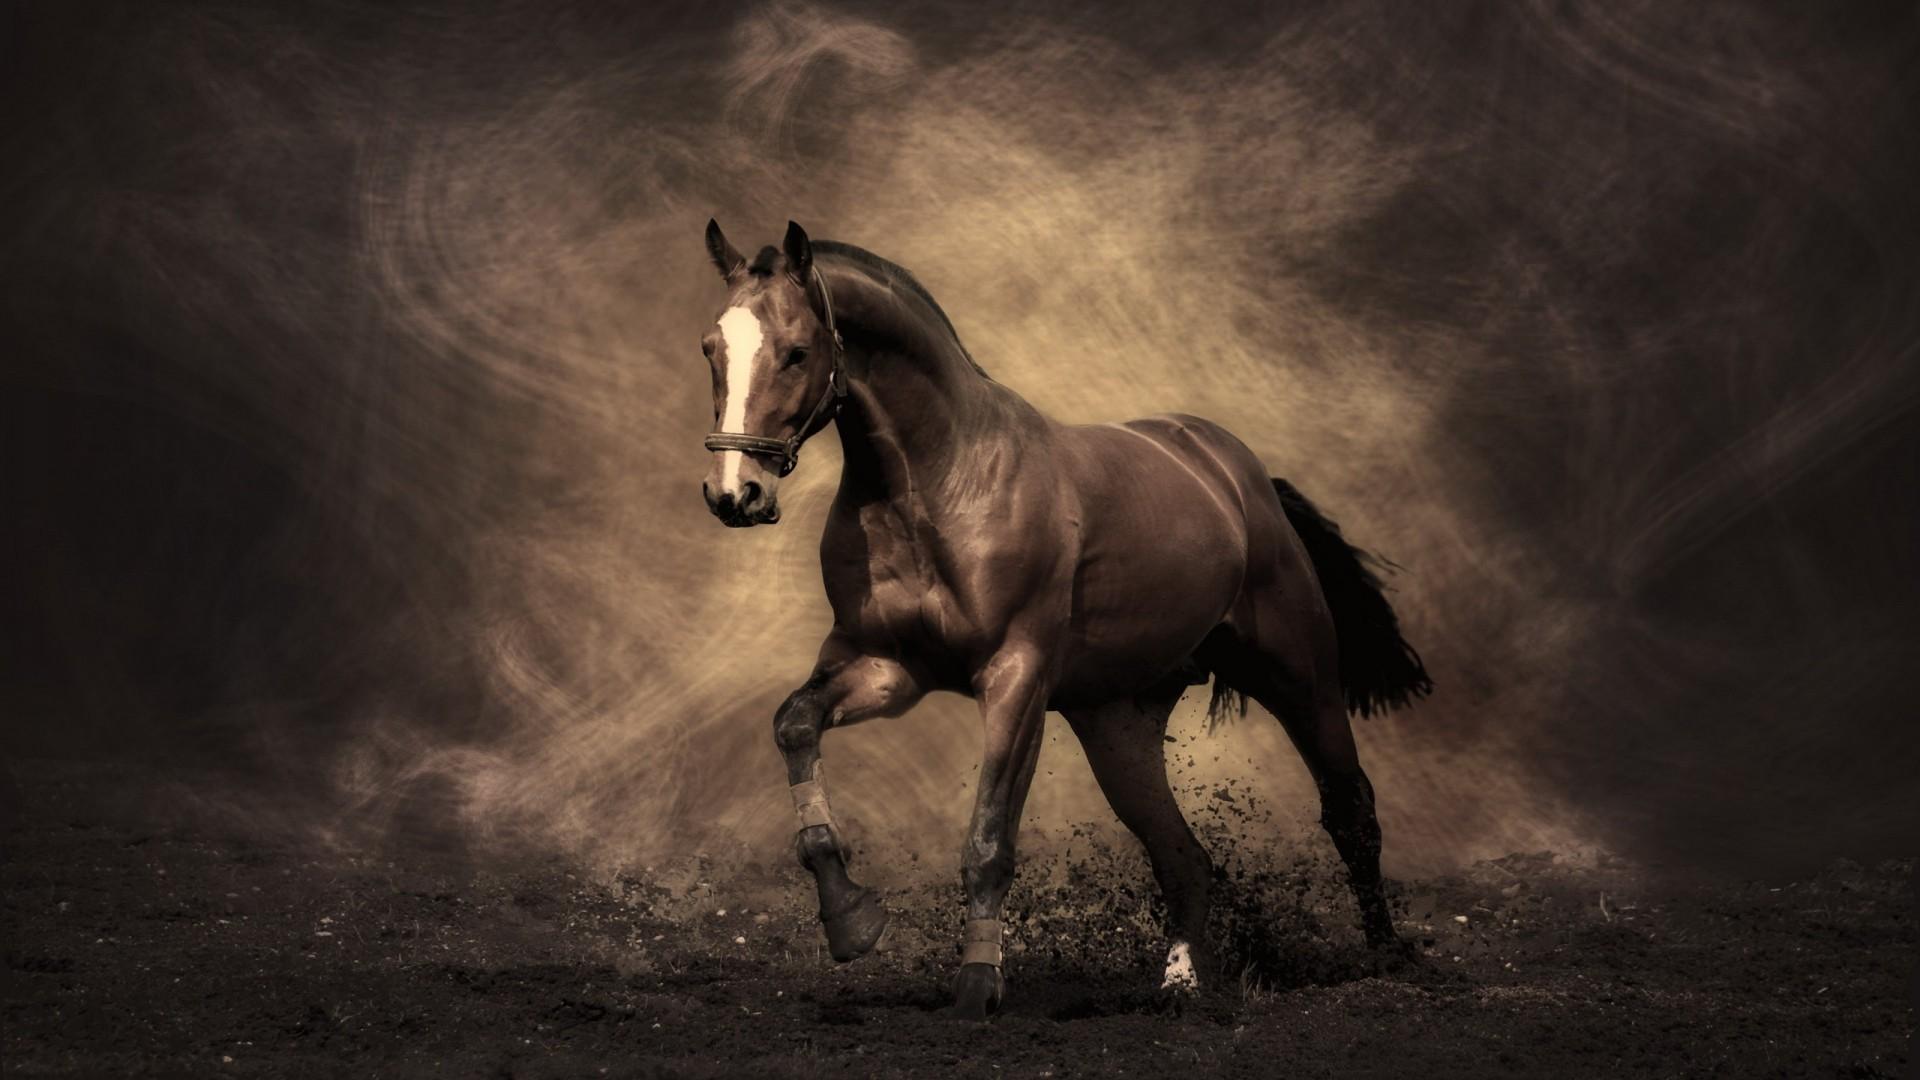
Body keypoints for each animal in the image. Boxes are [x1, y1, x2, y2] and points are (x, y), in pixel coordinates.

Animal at [695, 219, 1432, 1019]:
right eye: (711, 348)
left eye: (798, 350)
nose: (734, 493)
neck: (938, 483)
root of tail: (1240, 477)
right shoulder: (886, 668)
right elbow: (795, 726)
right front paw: (852, 921)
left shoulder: (1015, 679)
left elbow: (989, 840)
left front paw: (977, 988)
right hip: (1117, 725)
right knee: (1182, 856)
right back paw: (1180, 984)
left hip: (1299, 677)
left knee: (1350, 810)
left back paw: (1387, 957)